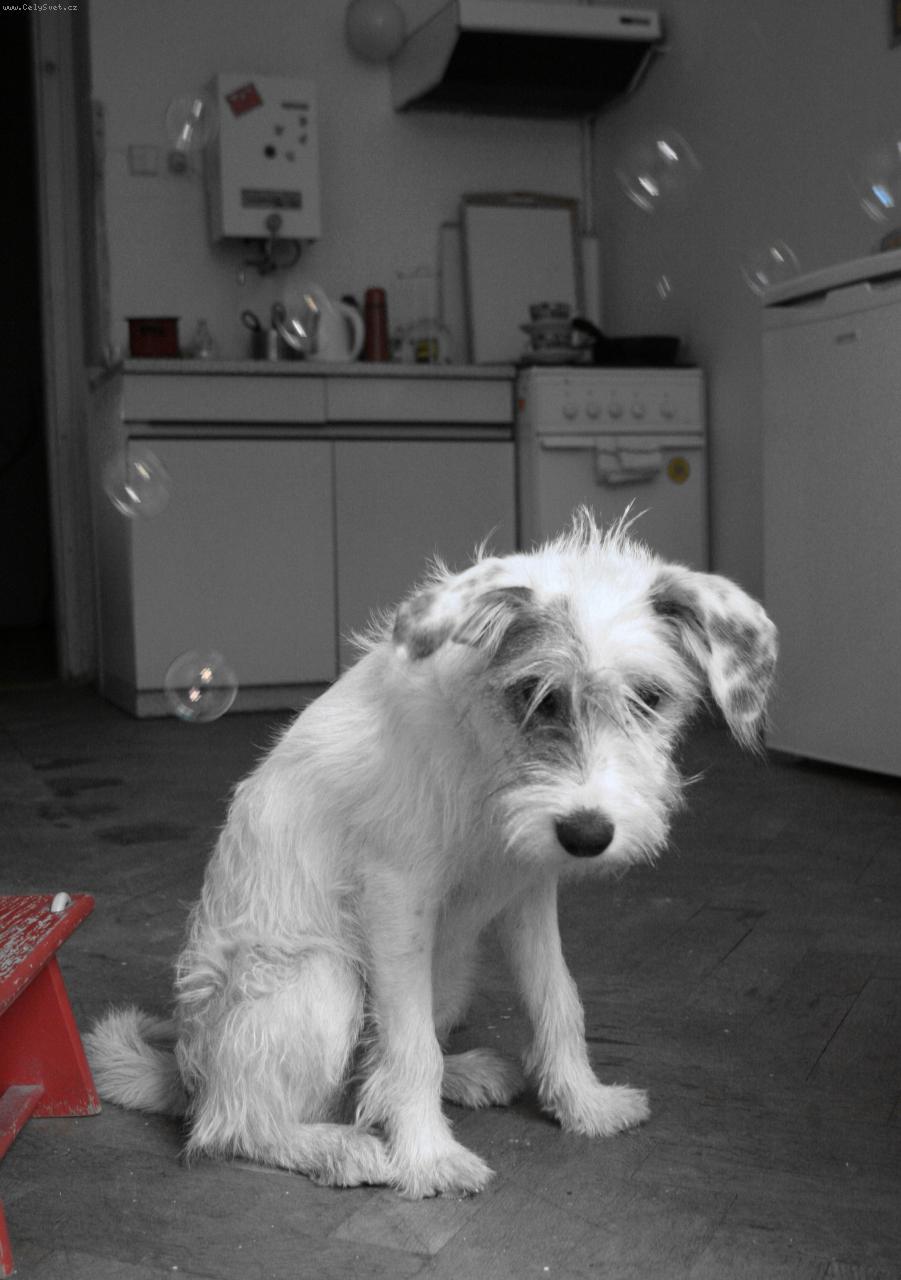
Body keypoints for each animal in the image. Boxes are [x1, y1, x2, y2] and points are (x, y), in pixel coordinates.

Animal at [85, 510, 777, 1199]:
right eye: (538, 694)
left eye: (649, 698)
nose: (587, 834)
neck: (487, 765)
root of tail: (188, 1072)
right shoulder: (396, 899)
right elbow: (410, 1043)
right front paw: (427, 1159)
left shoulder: (529, 889)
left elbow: (557, 998)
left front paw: (584, 1103)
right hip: (322, 978)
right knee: (234, 1124)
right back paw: (335, 1147)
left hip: (452, 967)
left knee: (364, 1078)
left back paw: (459, 1076)